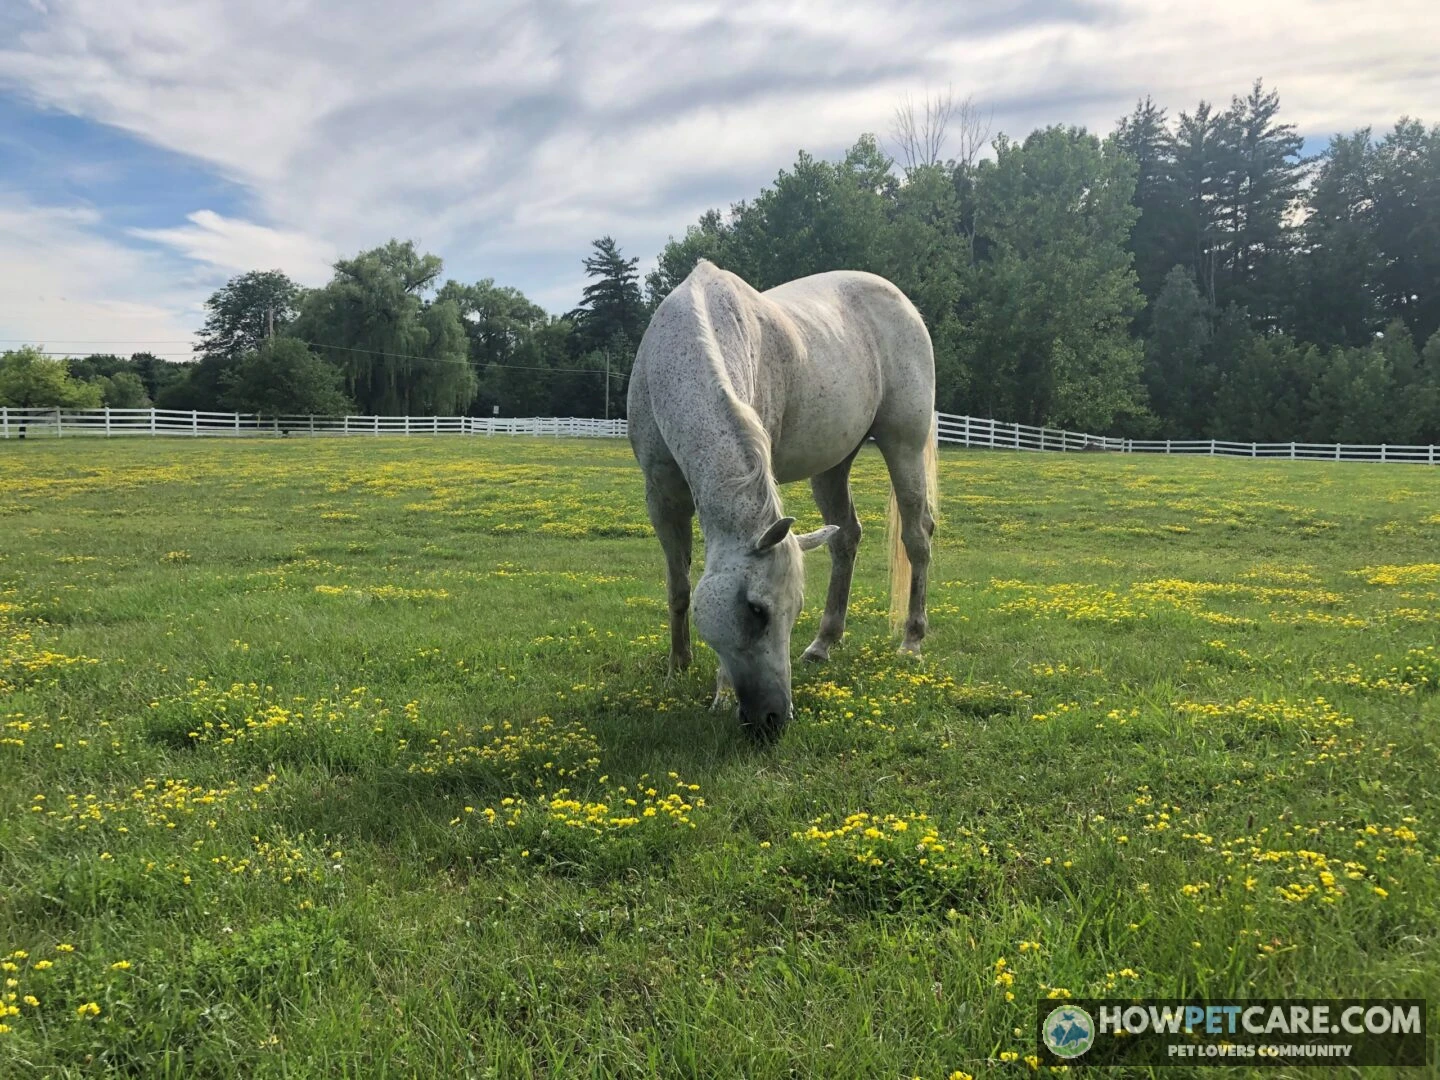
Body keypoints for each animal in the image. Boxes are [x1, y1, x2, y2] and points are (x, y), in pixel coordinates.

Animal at [627, 259, 939, 741]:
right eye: (757, 611)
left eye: (790, 612)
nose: (775, 718)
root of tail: (905, 304)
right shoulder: (661, 497)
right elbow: (678, 589)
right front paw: (677, 667)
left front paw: (719, 694)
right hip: (832, 465)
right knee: (846, 538)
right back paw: (824, 644)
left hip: (903, 445)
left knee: (917, 537)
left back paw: (911, 641)